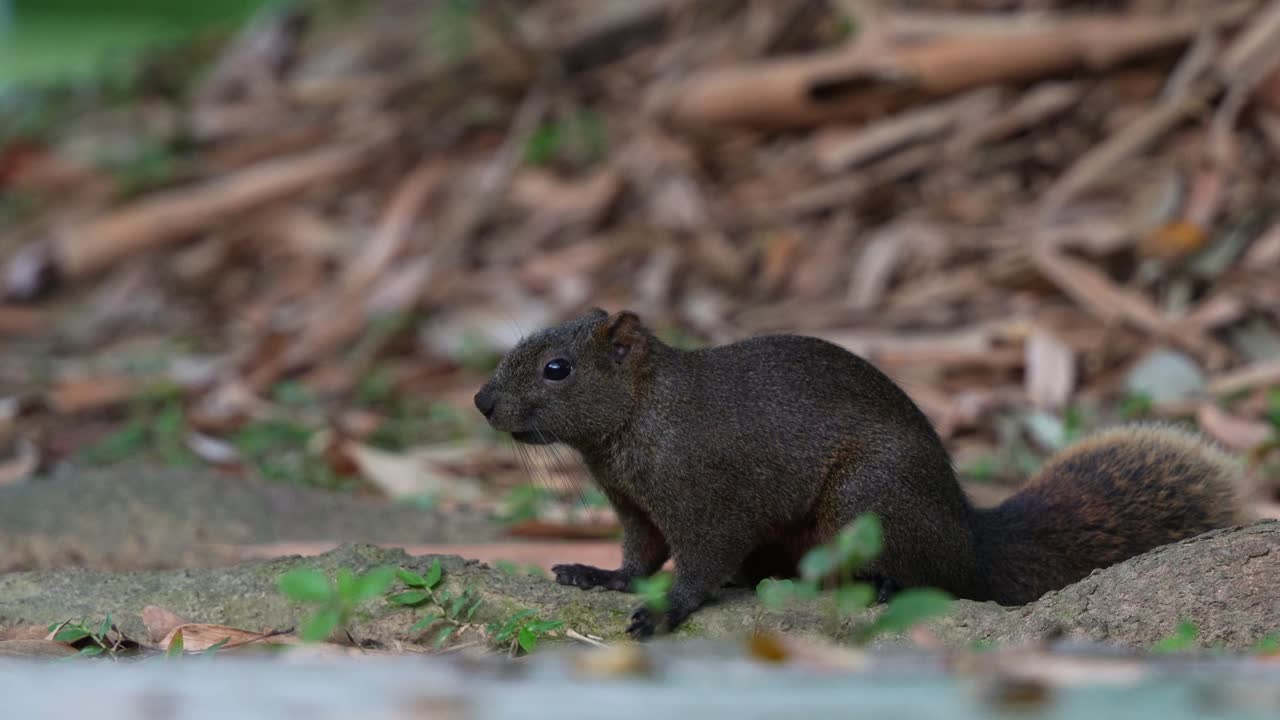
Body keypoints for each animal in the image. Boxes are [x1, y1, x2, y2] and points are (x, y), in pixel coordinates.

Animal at [473, 308, 1242, 639]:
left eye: (557, 369)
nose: (482, 401)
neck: (639, 419)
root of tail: (971, 539)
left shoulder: (708, 498)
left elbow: (697, 562)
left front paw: (666, 610)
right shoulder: (633, 504)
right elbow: (640, 556)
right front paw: (597, 575)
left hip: (866, 500)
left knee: (930, 577)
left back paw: (879, 585)